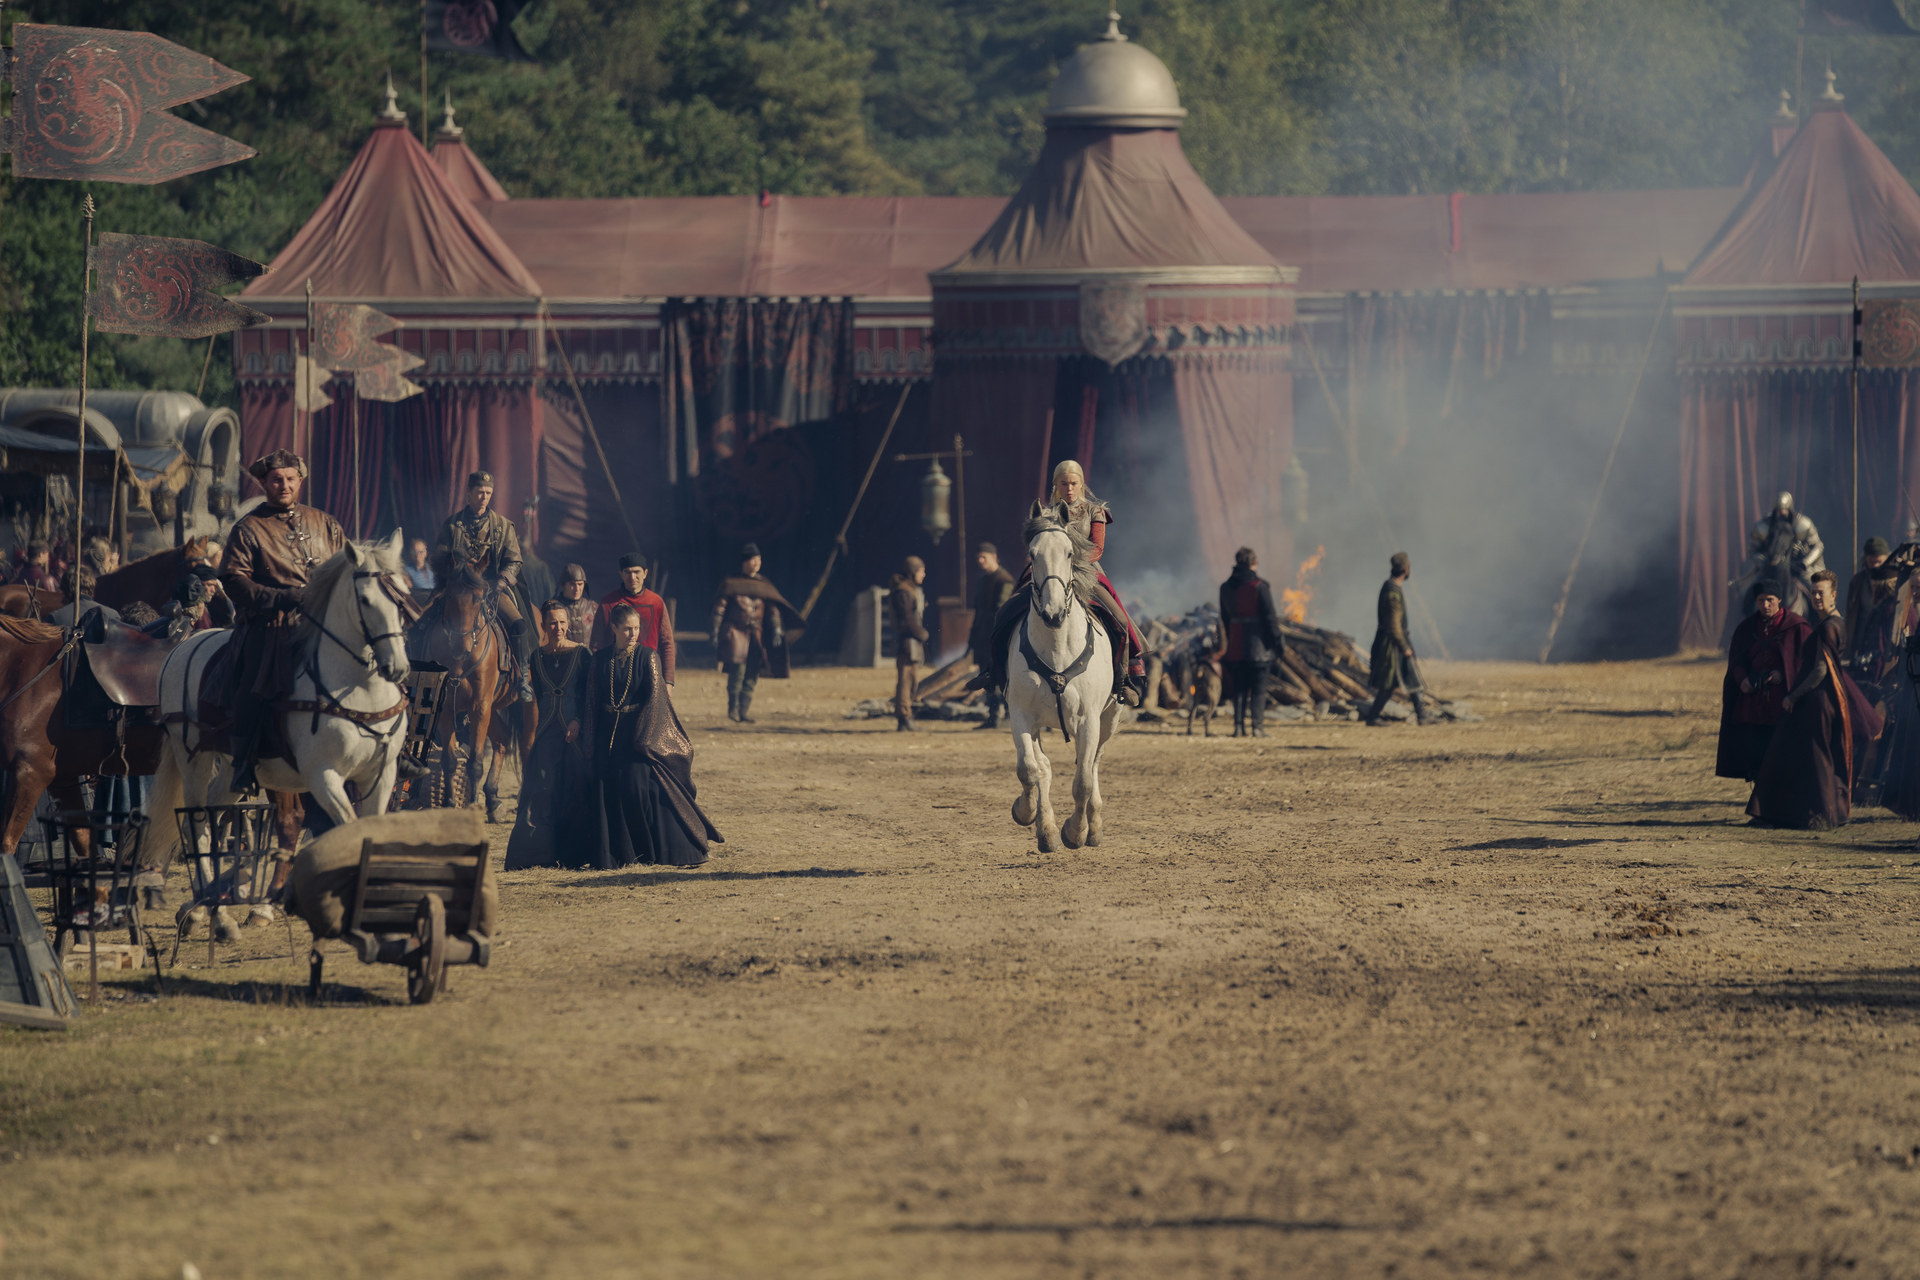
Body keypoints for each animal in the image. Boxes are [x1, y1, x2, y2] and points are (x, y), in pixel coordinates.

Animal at [149, 529, 416, 921]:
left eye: (403, 596)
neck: (359, 689)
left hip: (232, 772)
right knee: (197, 822)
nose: (396, 667)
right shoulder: (323, 777)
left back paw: (208, 903)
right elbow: (346, 827)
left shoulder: (380, 774)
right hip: (192, 758)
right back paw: (210, 908)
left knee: (211, 815)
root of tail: (182, 648)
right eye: (366, 600)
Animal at [1006, 498, 1121, 852]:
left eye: (1070, 553)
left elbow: (1082, 781)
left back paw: (1093, 828)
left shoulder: (1089, 719)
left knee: (1093, 765)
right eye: (1032, 555)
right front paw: (1027, 813)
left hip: (1109, 720)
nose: (1053, 613)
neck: (1057, 646)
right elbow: (1029, 770)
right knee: (1042, 767)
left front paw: (1076, 832)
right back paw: (1045, 832)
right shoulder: (1021, 715)